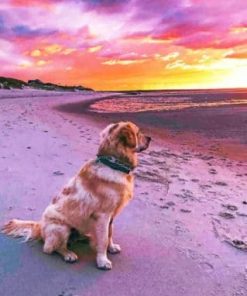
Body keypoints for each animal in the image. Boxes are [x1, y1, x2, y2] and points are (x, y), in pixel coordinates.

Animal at [1, 121, 151, 270]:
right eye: (138, 133)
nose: (150, 138)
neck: (113, 164)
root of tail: (39, 226)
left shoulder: (111, 216)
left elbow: (110, 233)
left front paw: (111, 247)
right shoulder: (103, 215)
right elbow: (103, 238)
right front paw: (102, 260)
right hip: (61, 228)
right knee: (50, 248)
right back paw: (68, 254)